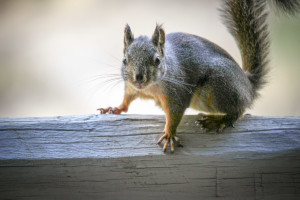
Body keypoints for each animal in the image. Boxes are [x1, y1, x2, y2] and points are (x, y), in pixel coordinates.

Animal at [99, 0, 300, 152]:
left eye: (156, 60)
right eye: (125, 60)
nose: (139, 78)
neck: (151, 87)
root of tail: (248, 86)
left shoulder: (177, 92)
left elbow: (174, 114)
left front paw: (169, 134)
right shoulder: (131, 88)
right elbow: (127, 100)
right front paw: (114, 108)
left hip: (219, 88)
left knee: (239, 110)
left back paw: (219, 120)